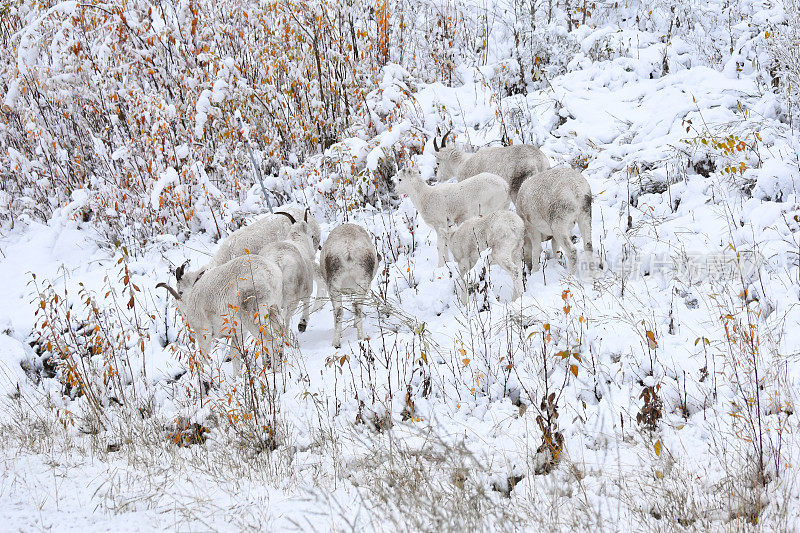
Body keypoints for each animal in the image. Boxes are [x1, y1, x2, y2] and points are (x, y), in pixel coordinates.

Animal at [156, 255, 284, 374]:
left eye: (180, 292)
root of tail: (269, 273)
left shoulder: (203, 334)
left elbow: (203, 359)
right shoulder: (239, 333)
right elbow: (235, 355)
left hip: (252, 318)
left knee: (271, 343)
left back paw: (275, 372)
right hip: (273, 310)